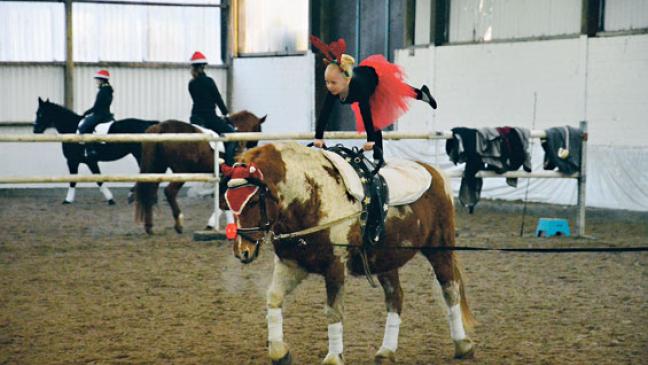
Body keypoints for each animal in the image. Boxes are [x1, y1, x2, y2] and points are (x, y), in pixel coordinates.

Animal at [134, 109, 266, 233]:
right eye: (258, 128)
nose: (254, 145)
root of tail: (160, 127)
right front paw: (218, 224)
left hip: (157, 167)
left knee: (150, 191)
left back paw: (149, 226)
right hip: (182, 171)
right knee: (169, 192)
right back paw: (178, 222)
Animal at [228, 142, 476, 364]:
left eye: (253, 201)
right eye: (229, 201)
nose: (242, 251)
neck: (312, 197)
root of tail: (434, 172)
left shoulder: (335, 266)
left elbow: (333, 312)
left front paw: (334, 357)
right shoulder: (291, 264)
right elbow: (274, 298)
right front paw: (280, 352)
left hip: (440, 250)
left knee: (450, 290)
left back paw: (463, 345)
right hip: (386, 260)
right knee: (395, 297)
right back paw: (386, 351)